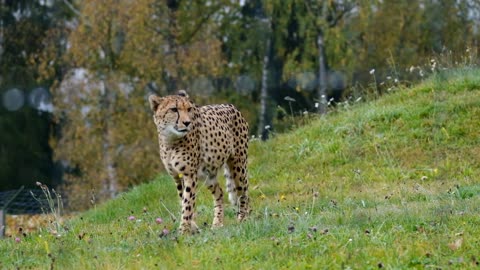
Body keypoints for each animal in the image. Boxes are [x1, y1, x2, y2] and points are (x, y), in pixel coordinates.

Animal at [148, 90, 249, 234]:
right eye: (174, 109)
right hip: (208, 175)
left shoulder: (189, 174)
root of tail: (231, 106)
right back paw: (217, 223)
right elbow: (183, 200)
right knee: (220, 192)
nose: (187, 123)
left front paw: (183, 230)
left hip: (238, 165)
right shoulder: (176, 177)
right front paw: (192, 227)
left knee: (244, 192)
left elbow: (187, 203)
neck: (170, 140)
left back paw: (243, 219)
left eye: (189, 109)